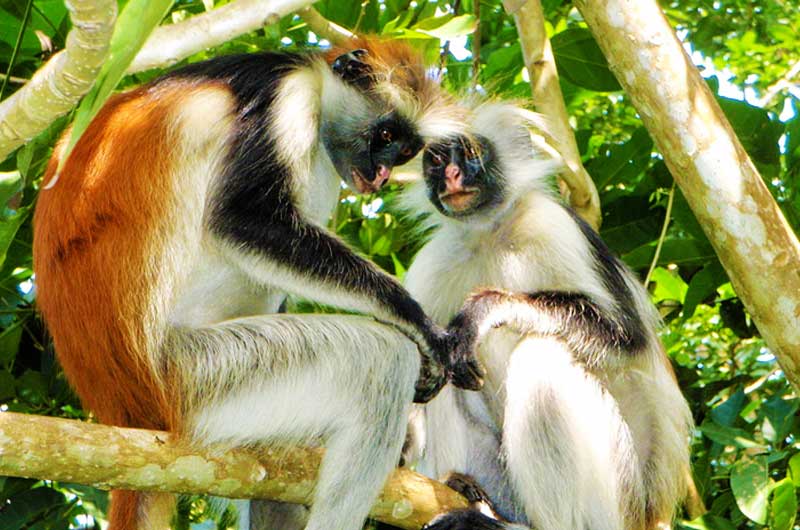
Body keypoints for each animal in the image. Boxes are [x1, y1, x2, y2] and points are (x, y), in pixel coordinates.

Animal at [34, 40, 478, 528]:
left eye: (403, 152)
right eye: (384, 136)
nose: (381, 175)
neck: (315, 82)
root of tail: (128, 407)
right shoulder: (284, 97)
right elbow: (243, 217)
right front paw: (420, 325)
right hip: (199, 375)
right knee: (382, 362)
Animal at [404, 103, 692, 528]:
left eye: (472, 153)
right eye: (437, 161)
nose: (452, 176)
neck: (490, 233)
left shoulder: (552, 222)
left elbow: (627, 340)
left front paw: (486, 309)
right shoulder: (433, 262)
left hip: (618, 492)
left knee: (542, 355)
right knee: (448, 373)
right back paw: (471, 495)